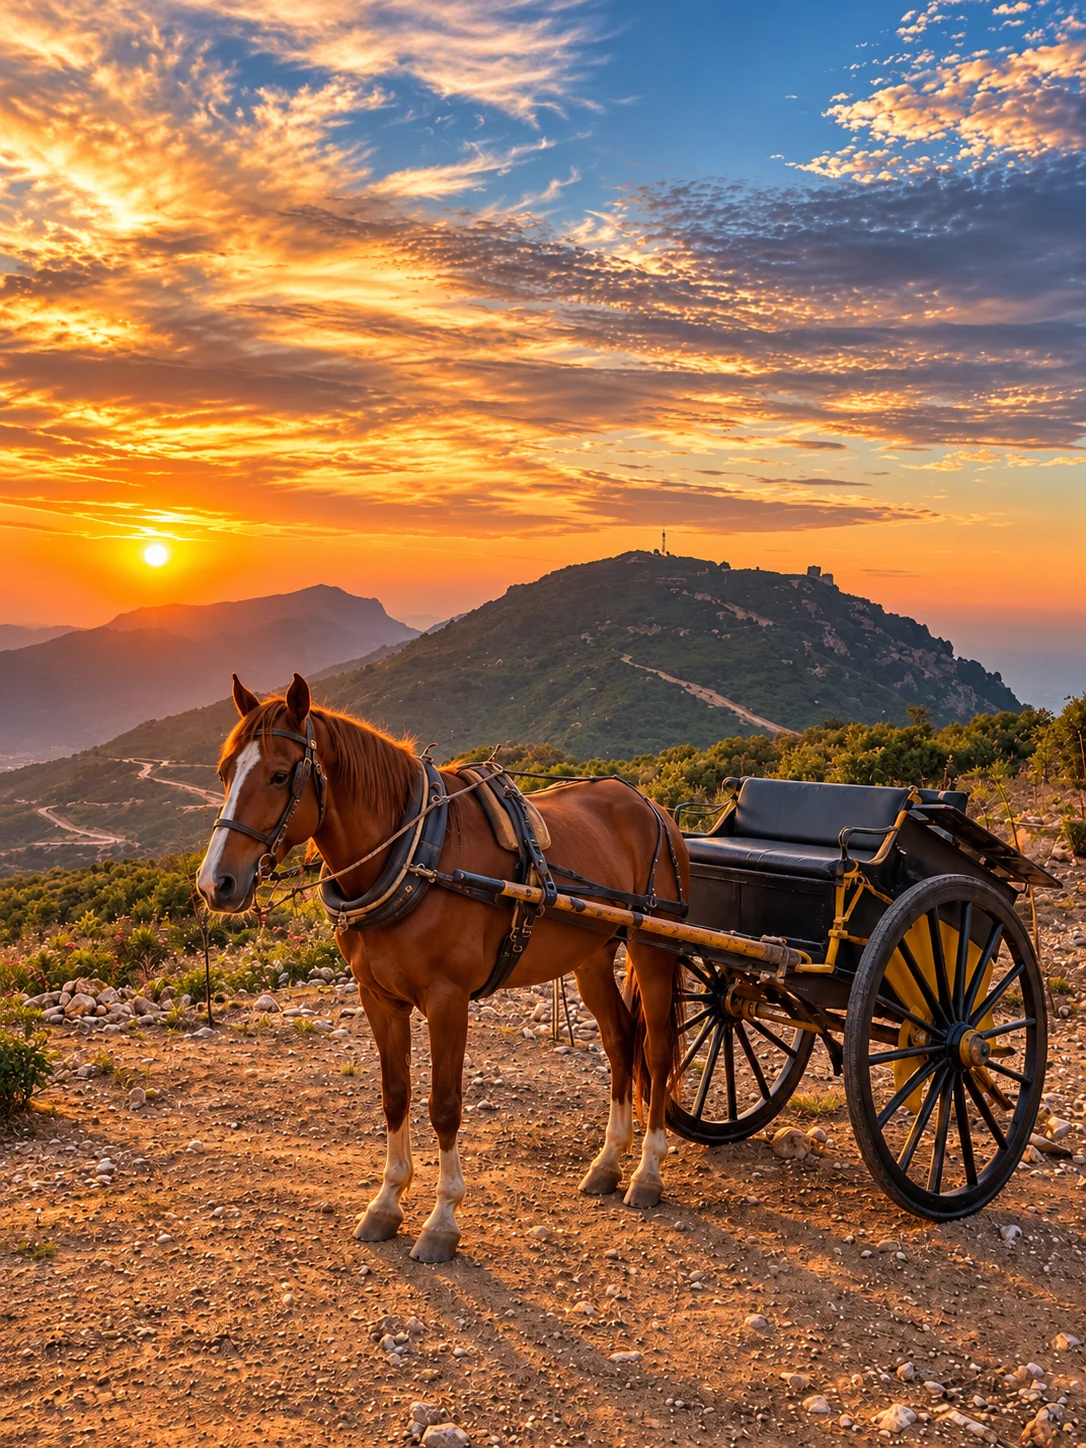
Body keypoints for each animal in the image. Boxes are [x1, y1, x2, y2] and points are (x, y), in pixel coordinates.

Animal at [197, 672, 690, 1263]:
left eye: (277, 775)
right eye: (225, 772)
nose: (215, 884)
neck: (415, 854)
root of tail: (649, 805)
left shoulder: (448, 1000)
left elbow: (445, 1105)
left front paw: (442, 1219)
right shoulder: (377, 998)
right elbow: (395, 1094)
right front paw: (386, 1202)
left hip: (654, 947)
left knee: (656, 1050)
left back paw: (647, 1171)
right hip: (591, 956)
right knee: (620, 1039)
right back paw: (609, 1161)